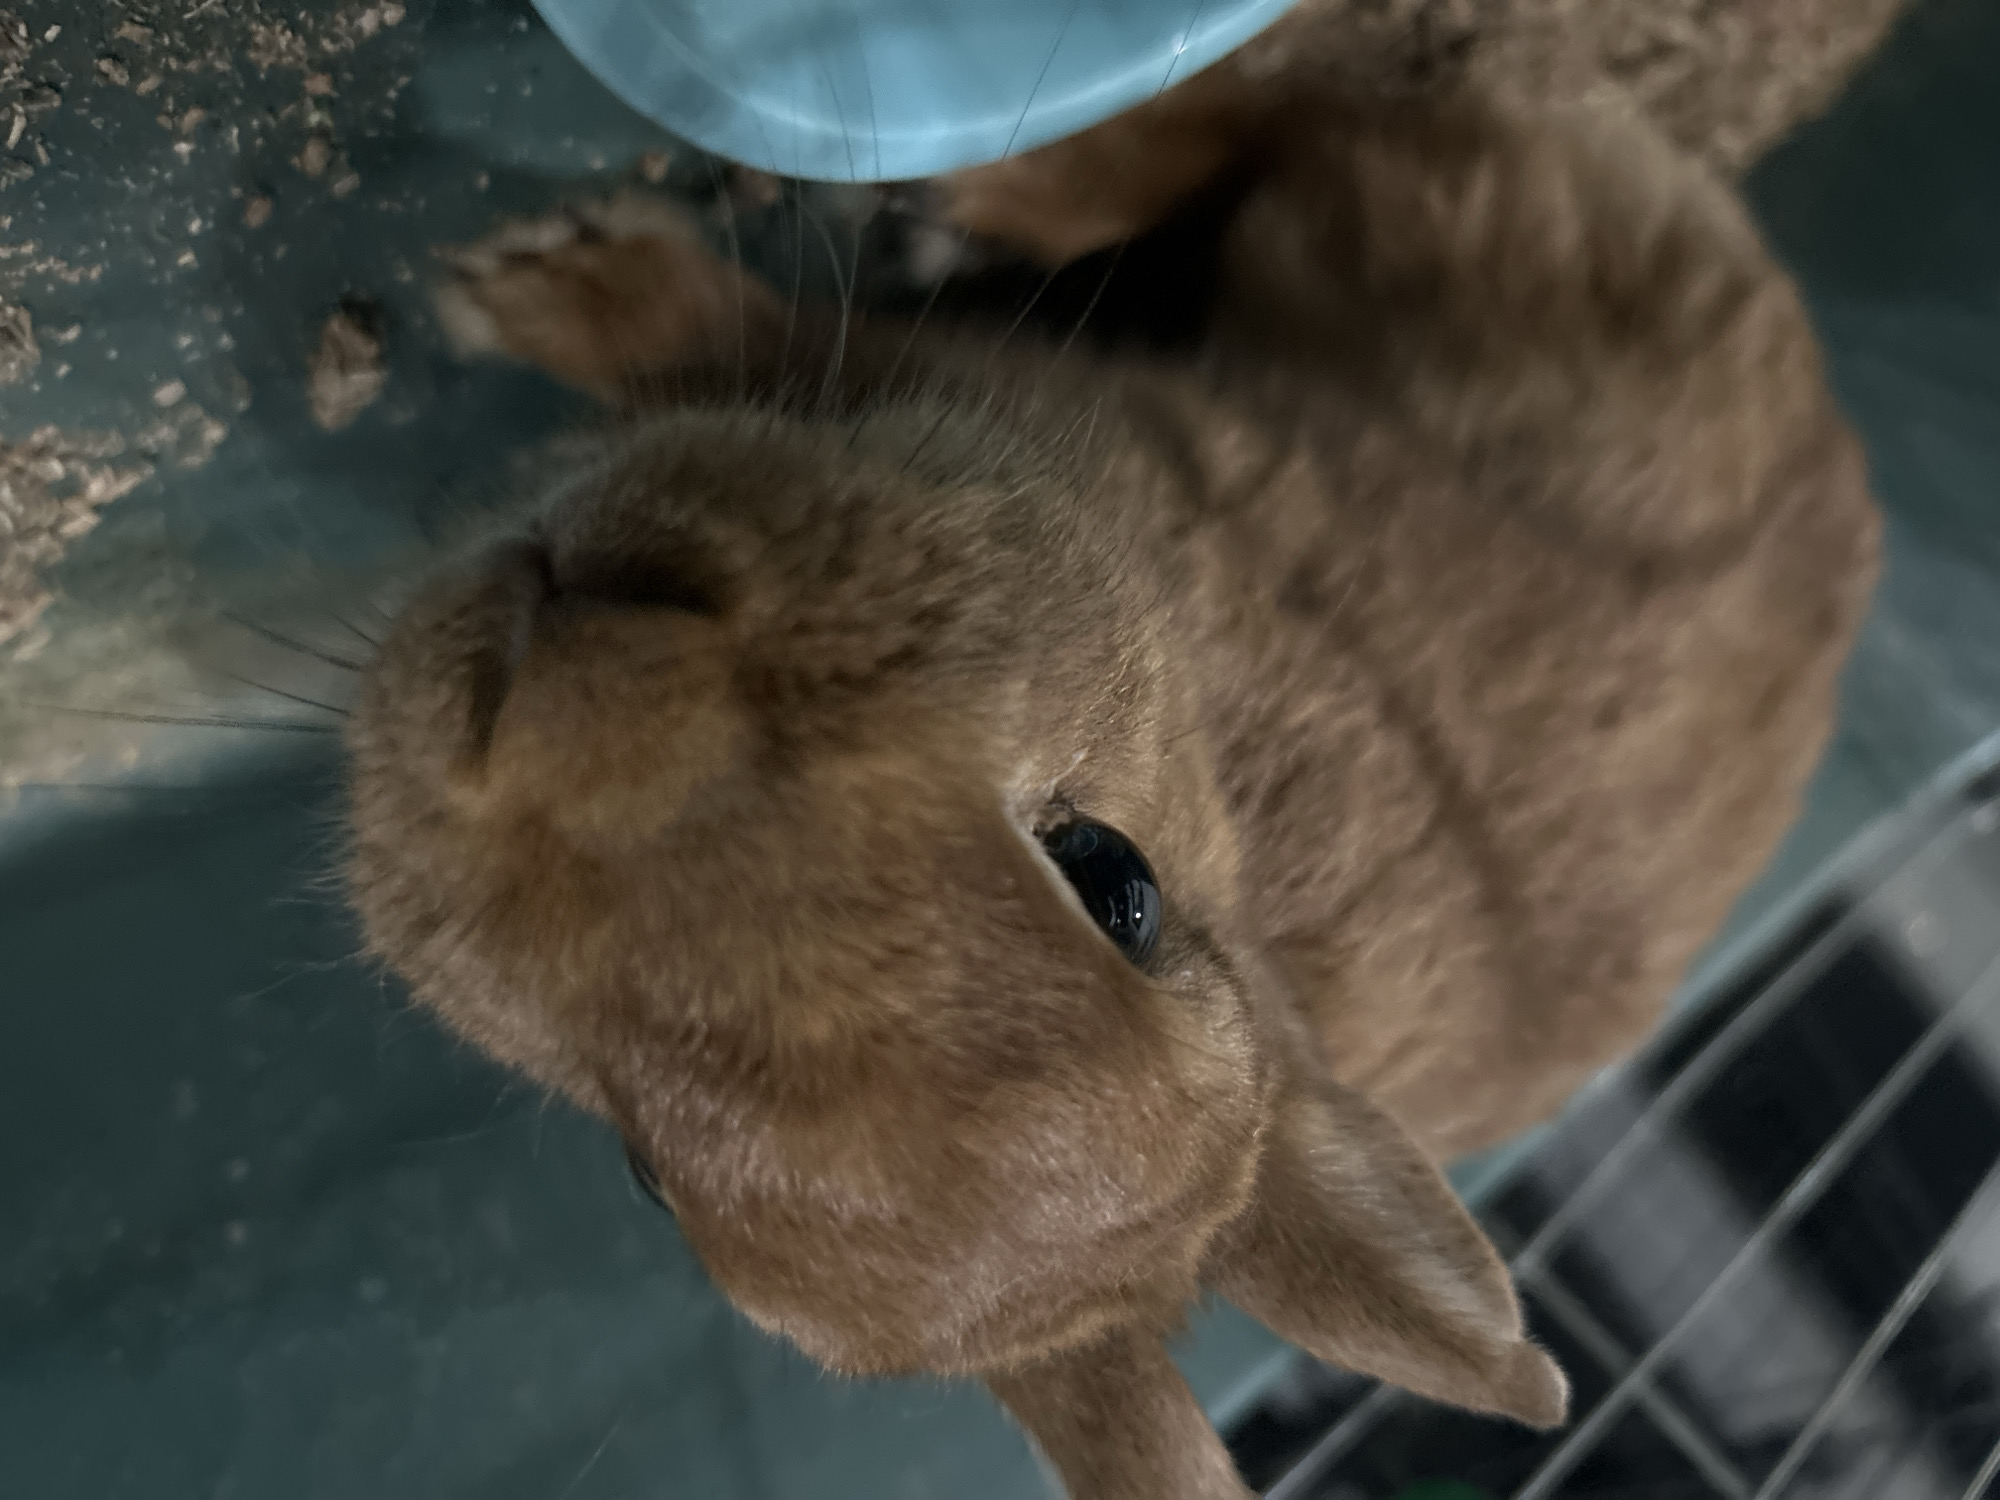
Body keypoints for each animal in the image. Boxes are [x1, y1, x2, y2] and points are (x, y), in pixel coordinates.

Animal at [344, 29, 1881, 1500]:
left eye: (1111, 880)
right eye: (641, 1172)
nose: (581, 710)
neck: (1210, 743)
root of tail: (1834, 445)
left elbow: (751, 324)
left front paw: (543, 287)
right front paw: (534, 286)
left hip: (1405, 227)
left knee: (1269, 119)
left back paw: (980, 191)